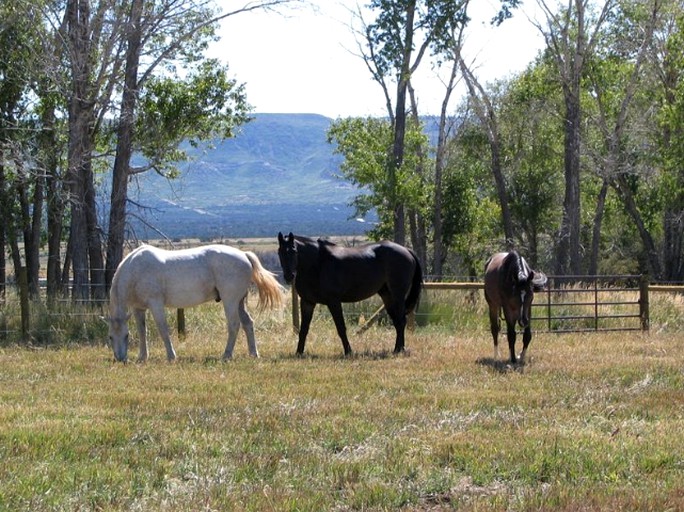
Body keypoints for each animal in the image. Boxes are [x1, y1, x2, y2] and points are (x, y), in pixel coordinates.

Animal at [105, 243, 282, 360]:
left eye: (126, 336)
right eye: (110, 337)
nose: (120, 359)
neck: (136, 270)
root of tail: (244, 255)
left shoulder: (156, 305)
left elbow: (163, 329)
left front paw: (171, 356)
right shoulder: (138, 309)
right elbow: (143, 331)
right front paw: (142, 357)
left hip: (230, 300)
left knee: (234, 325)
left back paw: (226, 355)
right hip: (239, 302)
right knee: (247, 323)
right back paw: (253, 354)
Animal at [276, 233, 420, 356]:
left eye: (294, 251)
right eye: (280, 252)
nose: (289, 276)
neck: (317, 264)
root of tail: (407, 250)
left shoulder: (333, 302)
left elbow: (341, 328)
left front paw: (348, 351)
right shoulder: (307, 302)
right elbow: (303, 330)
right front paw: (299, 352)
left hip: (397, 295)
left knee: (401, 321)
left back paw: (399, 350)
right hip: (387, 296)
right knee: (397, 321)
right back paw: (398, 349)